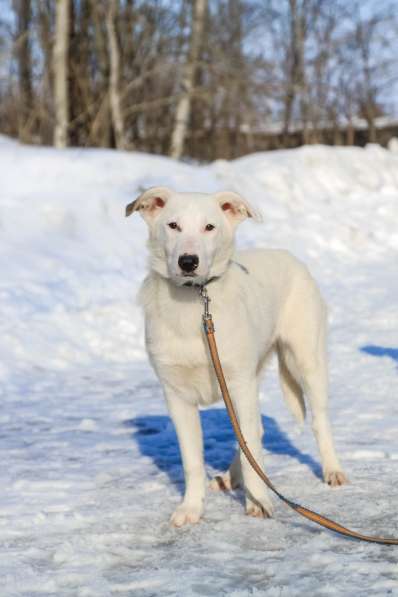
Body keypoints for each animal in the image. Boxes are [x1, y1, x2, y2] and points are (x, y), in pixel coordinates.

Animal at [126, 186, 346, 528]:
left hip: (306, 360)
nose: (188, 261)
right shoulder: (177, 397)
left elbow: (249, 444)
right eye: (173, 225)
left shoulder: (240, 385)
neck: (194, 301)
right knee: (252, 432)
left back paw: (332, 469)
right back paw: (232, 477)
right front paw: (191, 508)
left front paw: (259, 502)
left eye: (209, 227)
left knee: (317, 420)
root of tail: (288, 256)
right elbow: (193, 461)